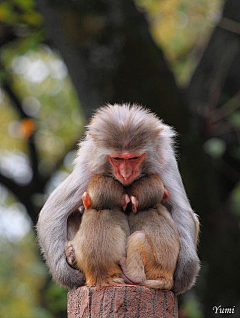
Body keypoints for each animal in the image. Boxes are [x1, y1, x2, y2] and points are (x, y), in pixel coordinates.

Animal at [37, 104, 199, 294]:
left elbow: (182, 210)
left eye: (134, 158)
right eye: (117, 158)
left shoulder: (166, 161)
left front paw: (185, 270)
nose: (125, 173)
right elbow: (53, 211)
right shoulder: (88, 164)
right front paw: (67, 274)